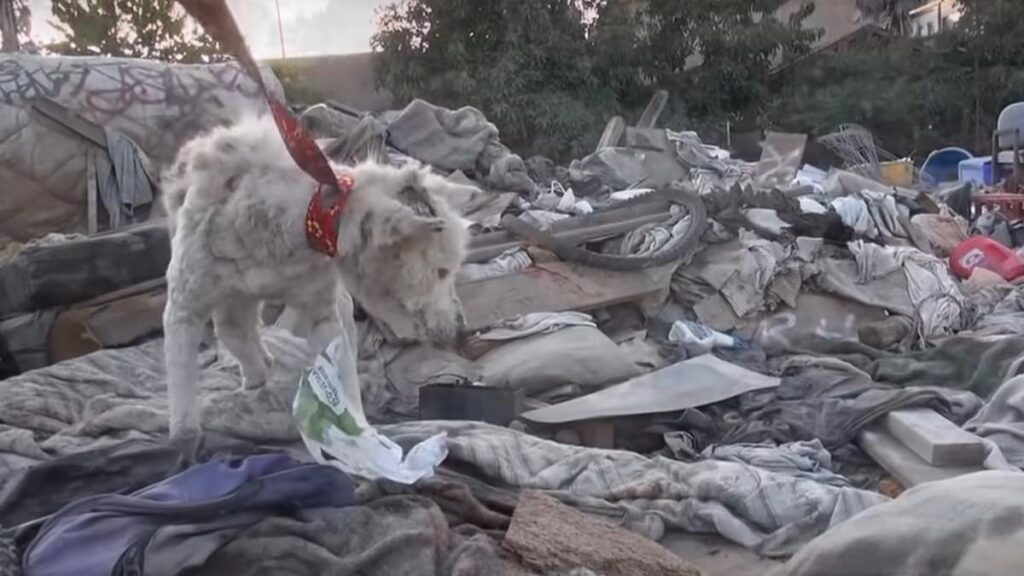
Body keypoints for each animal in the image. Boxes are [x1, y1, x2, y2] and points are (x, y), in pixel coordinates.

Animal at [161, 116, 466, 444]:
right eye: (442, 271)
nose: (462, 330)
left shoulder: (323, 314)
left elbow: (343, 375)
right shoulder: (183, 308)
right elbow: (181, 385)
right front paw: (184, 436)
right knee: (234, 329)